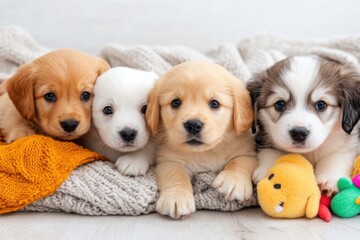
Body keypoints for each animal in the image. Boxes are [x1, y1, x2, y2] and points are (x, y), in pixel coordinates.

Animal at [146, 62, 258, 219]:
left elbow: (240, 161)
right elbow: (175, 174)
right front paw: (176, 197)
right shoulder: (168, 160)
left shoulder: (247, 152)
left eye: (214, 104)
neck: (204, 152)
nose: (193, 125)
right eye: (175, 102)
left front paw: (234, 181)